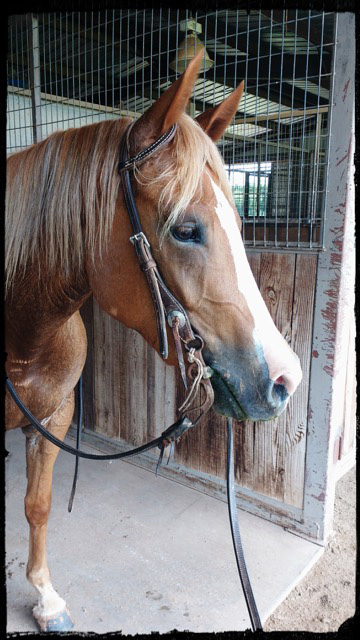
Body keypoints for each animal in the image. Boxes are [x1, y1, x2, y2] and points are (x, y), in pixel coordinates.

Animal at [5, 52, 302, 632]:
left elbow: (37, 504)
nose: (285, 379)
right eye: (185, 229)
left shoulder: (52, 416)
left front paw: (47, 598)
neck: (23, 336)